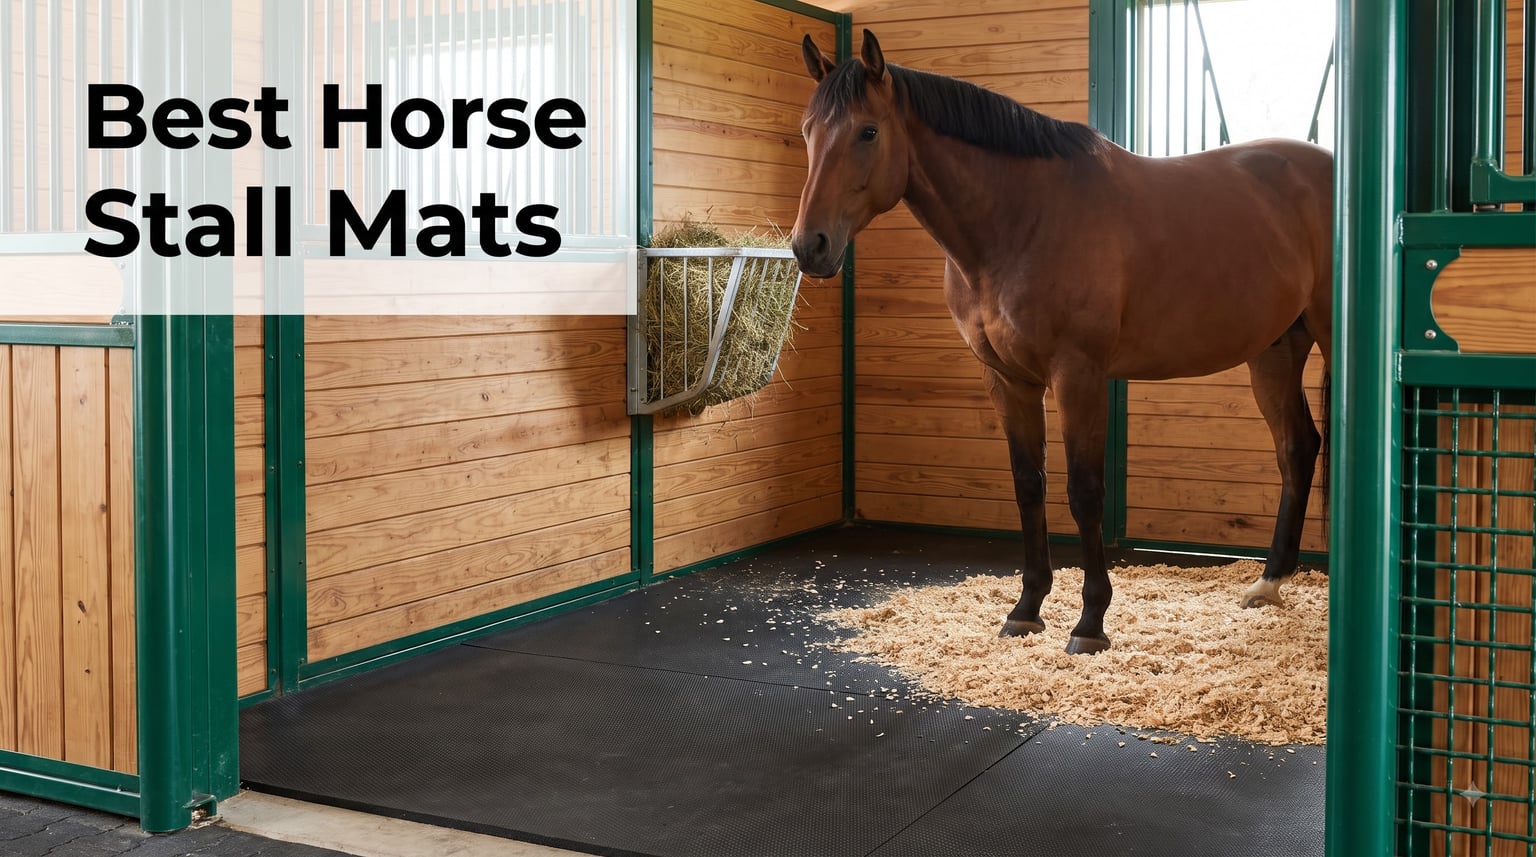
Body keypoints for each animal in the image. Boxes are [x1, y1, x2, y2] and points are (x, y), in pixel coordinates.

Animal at [792, 31, 1333, 654]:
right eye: (807, 130)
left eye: (868, 132)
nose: (809, 246)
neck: (1023, 218)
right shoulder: (1008, 380)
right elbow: (1029, 485)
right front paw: (1026, 610)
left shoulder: (1078, 375)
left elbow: (1084, 490)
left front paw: (1091, 621)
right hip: (1275, 350)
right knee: (1297, 447)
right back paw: (1268, 583)